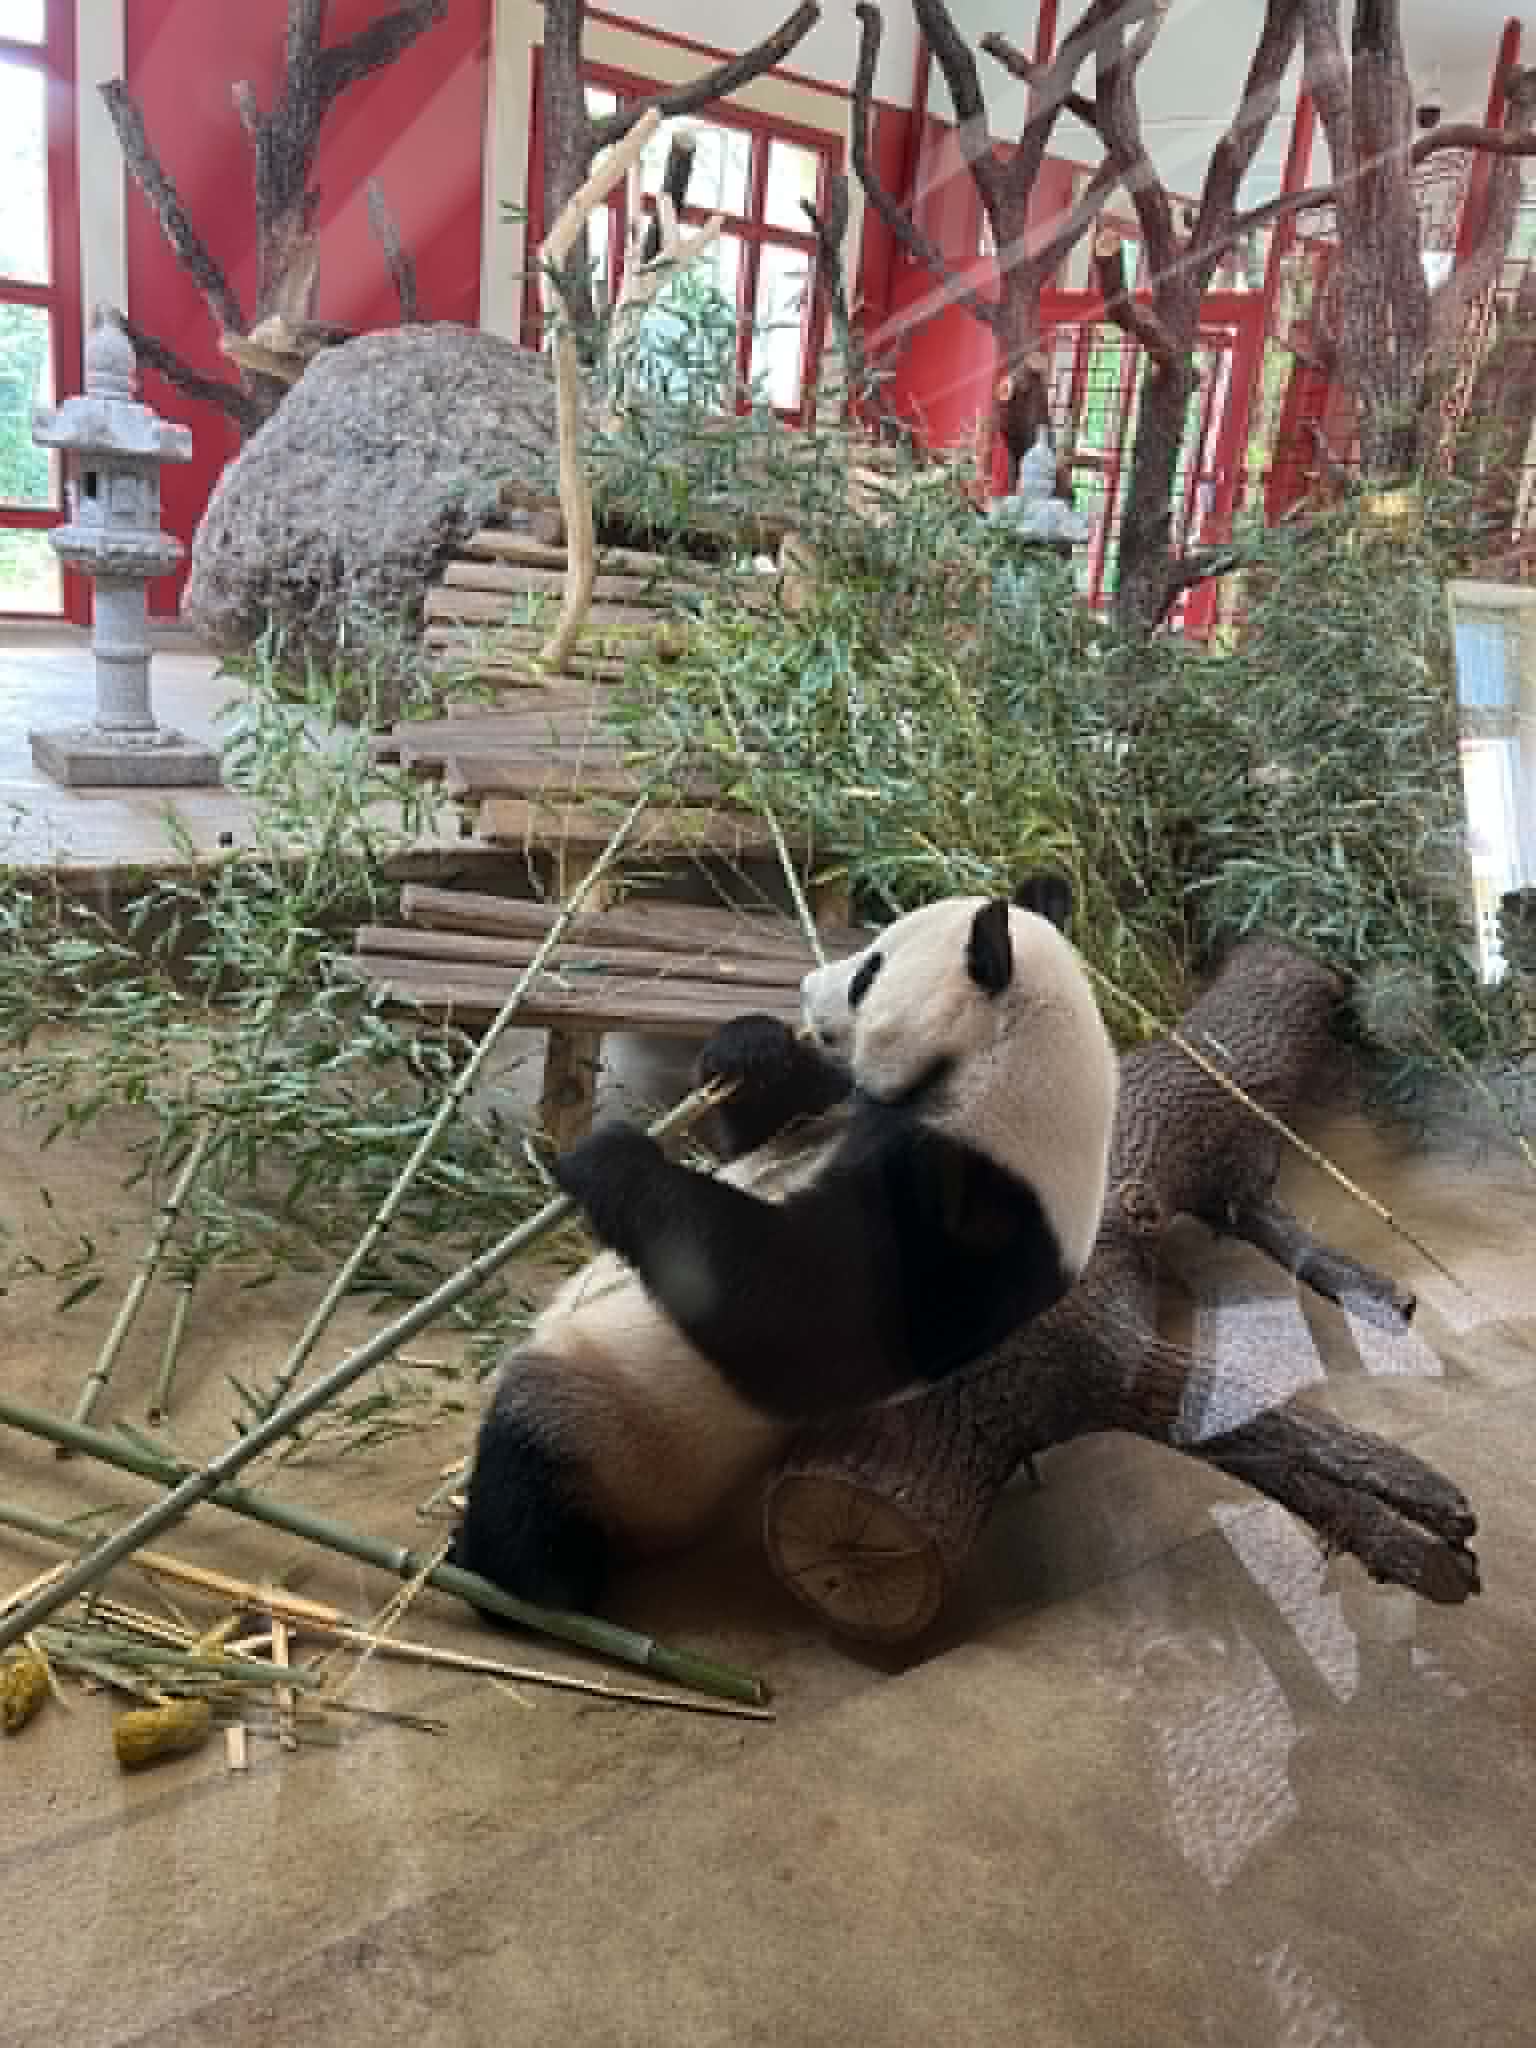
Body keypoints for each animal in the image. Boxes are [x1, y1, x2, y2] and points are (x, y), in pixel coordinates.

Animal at [453, 876, 1118, 1610]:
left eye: (868, 972)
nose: (802, 988)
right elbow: (761, 1134)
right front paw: (753, 1051)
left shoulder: (968, 1209)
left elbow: (789, 1304)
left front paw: (608, 1157)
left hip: (607, 1425)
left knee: (530, 1482)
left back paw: (511, 1576)